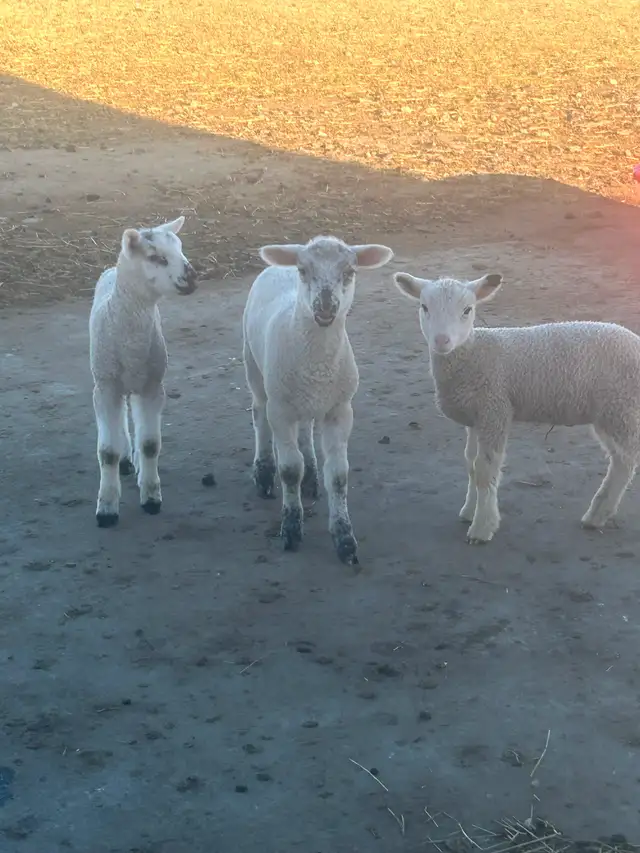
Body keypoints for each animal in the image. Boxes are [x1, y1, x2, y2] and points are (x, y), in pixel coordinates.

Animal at [89, 215, 197, 527]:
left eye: (180, 249)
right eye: (156, 258)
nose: (192, 277)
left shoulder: (152, 385)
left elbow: (150, 444)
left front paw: (151, 498)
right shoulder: (106, 387)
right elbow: (107, 452)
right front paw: (106, 509)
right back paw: (126, 458)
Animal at [243, 235, 394, 564]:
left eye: (350, 272)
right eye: (303, 270)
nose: (325, 307)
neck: (317, 364)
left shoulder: (340, 408)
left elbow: (338, 475)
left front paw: (344, 538)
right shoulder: (281, 410)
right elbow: (289, 470)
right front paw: (290, 528)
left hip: (308, 398)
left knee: (306, 429)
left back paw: (311, 475)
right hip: (254, 367)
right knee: (259, 414)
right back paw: (263, 472)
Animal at [394, 270, 640, 544]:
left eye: (468, 310)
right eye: (424, 307)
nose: (441, 341)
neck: (472, 352)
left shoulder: (495, 409)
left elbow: (485, 469)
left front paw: (482, 527)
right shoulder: (476, 417)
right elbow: (471, 464)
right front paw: (469, 511)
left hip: (620, 408)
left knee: (626, 462)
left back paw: (597, 515)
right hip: (614, 411)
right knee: (620, 460)